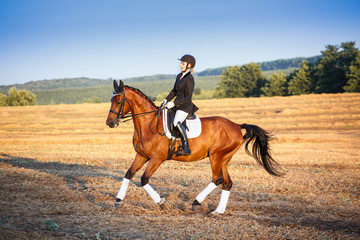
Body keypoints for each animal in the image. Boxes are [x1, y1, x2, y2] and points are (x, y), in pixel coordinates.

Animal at [107, 80, 284, 214]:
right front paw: (118, 201)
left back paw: (196, 202)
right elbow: (128, 174)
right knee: (227, 183)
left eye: (119, 101)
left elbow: (144, 179)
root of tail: (236, 125)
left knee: (217, 179)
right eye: (111, 100)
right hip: (224, 159)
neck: (147, 124)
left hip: (216, 156)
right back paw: (218, 211)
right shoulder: (142, 155)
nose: (110, 123)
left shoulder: (157, 158)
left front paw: (160, 202)